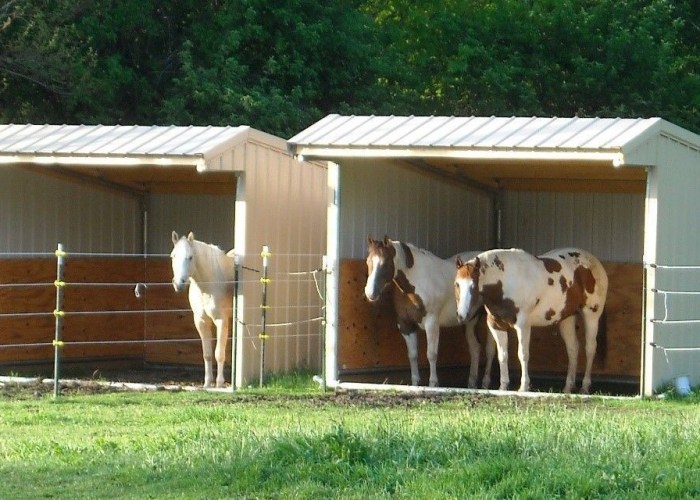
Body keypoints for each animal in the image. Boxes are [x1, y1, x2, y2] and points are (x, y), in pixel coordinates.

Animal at [170, 231, 235, 388]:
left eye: (190, 257)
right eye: (173, 256)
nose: (179, 284)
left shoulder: (221, 320)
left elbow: (219, 353)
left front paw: (219, 383)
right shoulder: (201, 321)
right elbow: (207, 354)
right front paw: (207, 383)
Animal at [365, 236, 495, 388]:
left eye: (385, 263)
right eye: (368, 262)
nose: (370, 293)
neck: (416, 283)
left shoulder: (431, 322)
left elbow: (431, 354)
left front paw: (433, 383)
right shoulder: (405, 325)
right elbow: (412, 355)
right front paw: (415, 383)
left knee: (490, 349)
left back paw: (485, 383)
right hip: (470, 320)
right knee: (475, 348)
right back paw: (472, 383)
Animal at [454, 247, 608, 394]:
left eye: (473, 285)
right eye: (457, 284)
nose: (461, 315)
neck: (505, 282)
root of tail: (593, 262)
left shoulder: (522, 325)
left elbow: (522, 355)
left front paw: (524, 386)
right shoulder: (496, 325)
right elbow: (502, 356)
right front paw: (503, 386)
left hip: (591, 316)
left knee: (590, 349)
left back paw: (585, 387)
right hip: (567, 318)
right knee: (573, 349)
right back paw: (568, 387)